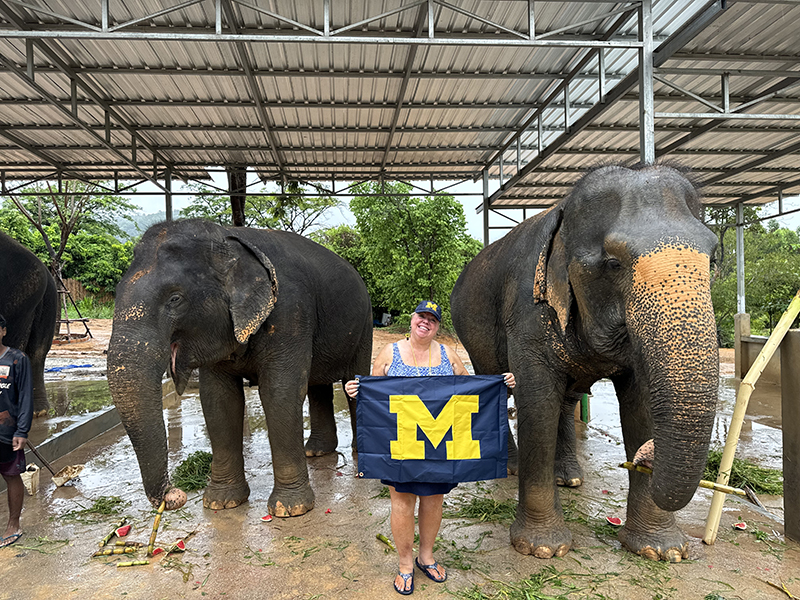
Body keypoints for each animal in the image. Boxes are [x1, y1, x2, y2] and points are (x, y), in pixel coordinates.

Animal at [108, 219, 374, 516]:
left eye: (175, 299)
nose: (173, 494)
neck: (226, 237)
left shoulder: (291, 312)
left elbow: (280, 393)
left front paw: (290, 509)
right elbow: (218, 400)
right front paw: (220, 503)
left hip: (365, 324)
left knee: (353, 380)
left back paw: (358, 454)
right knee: (318, 386)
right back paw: (315, 452)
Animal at [450, 164, 720, 564]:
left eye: (713, 261)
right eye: (613, 263)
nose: (647, 458)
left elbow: (641, 405)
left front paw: (663, 552)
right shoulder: (528, 311)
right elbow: (537, 399)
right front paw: (542, 549)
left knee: (567, 399)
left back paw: (569, 478)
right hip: (473, 327)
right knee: (497, 384)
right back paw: (512, 469)